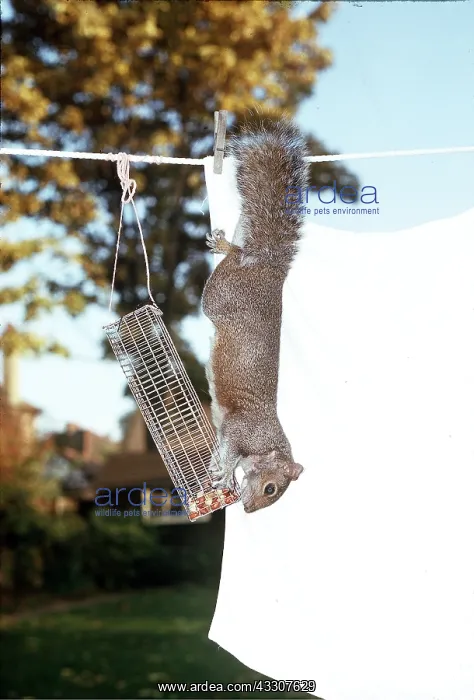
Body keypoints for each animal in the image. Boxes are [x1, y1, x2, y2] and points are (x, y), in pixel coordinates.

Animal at [201, 119, 309, 514]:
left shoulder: (227, 429)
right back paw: (227, 248)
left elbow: (220, 447)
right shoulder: (241, 428)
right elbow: (231, 448)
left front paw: (217, 469)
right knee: (234, 259)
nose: (247, 510)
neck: (267, 446)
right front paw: (224, 469)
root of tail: (268, 266)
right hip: (222, 295)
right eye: (271, 488)